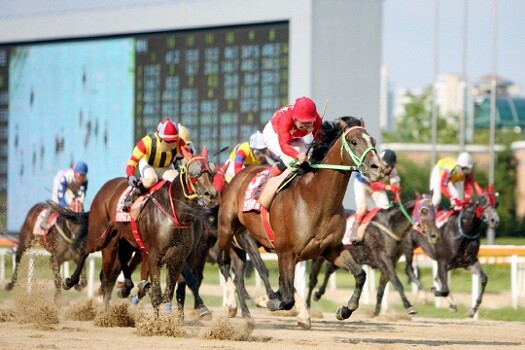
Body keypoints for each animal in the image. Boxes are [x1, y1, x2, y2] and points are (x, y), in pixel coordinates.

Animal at [61, 149, 219, 316]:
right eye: (193, 171)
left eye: (212, 171)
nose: (211, 194)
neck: (175, 212)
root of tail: (107, 186)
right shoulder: (155, 255)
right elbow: (158, 294)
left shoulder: (179, 257)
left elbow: (172, 291)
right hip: (100, 236)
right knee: (88, 254)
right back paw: (72, 282)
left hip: (123, 241)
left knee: (113, 271)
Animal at [215, 117, 382, 328]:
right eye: (353, 141)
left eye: (373, 141)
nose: (378, 167)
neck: (316, 199)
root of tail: (240, 175)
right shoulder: (286, 252)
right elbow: (286, 298)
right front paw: (268, 300)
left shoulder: (332, 249)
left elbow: (360, 274)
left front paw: (345, 309)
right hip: (228, 229)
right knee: (224, 262)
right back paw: (231, 305)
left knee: (237, 274)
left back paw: (245, 312)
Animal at [304, 194, 440, 318]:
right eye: (424, 210)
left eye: (435, 211)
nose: (435, 235)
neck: (388, 226)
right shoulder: (383, 259)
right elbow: (396, 282)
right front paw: (409, 306)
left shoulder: (390, 261)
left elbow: (381, 289)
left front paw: (376, 313)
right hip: (320, 257)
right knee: (312, 280)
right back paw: (308, 304)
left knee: (329, 270)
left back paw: (318, 294)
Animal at [402, 186, 500, 318]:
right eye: (481, 203)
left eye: (496, 203)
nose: (495, 220)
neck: (464, 232)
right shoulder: (442, 261)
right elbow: (444, 289)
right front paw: (434, 290)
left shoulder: (469, 262)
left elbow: (484, 279)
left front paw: (473, 310)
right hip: (408, 247)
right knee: (409, 270)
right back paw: (423, 296)